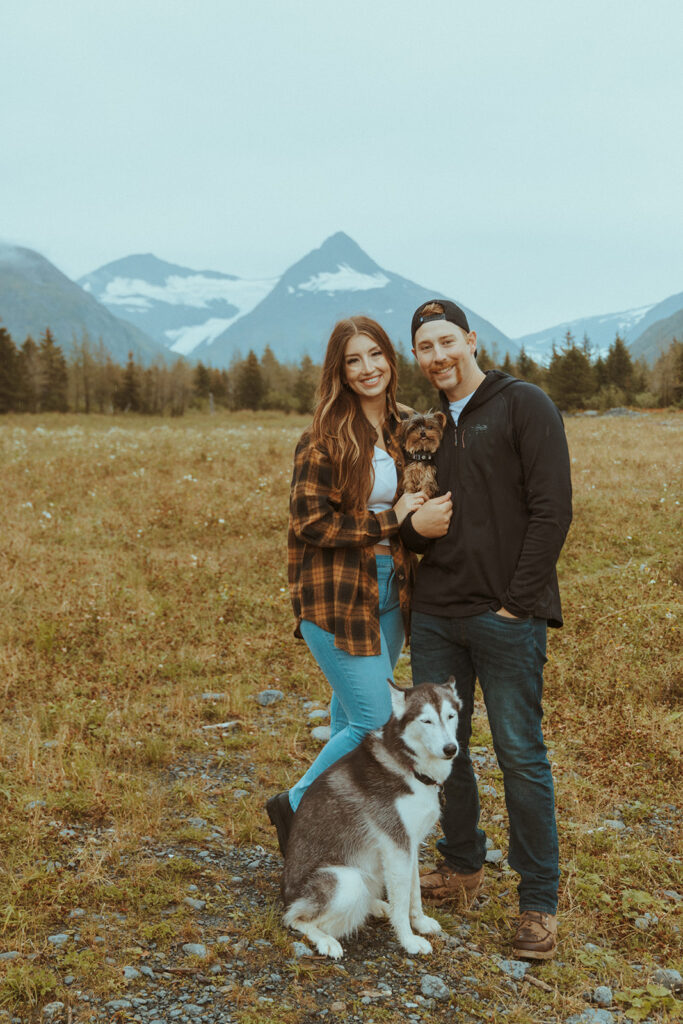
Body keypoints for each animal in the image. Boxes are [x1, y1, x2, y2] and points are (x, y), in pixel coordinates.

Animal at [280, 679, 462, 958]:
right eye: (426, 721)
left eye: (450, 716)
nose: (450, 749)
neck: (411, 768)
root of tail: (285, 894)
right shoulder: (397, 846)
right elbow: (402, 903)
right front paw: (408, 940)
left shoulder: (409, 845)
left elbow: (414, 891)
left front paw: (420, 922)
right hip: (346, 881)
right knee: (294, 918)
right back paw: (327, 941)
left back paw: (376, 906)